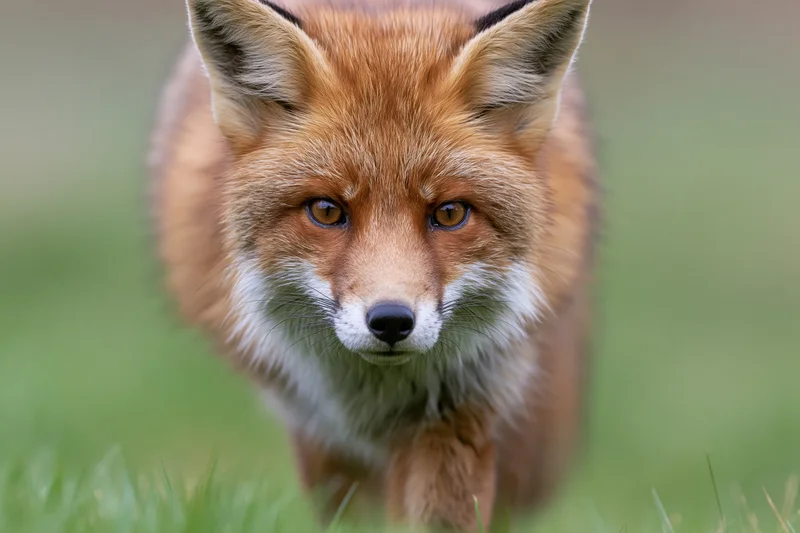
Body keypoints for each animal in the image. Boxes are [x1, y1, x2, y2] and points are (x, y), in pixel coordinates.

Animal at [149, 0, 598, 530]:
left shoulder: (461, 406)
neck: (376, 394)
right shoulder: (323, 431)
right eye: (326, 211)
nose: (391, 321)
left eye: (450, 213)